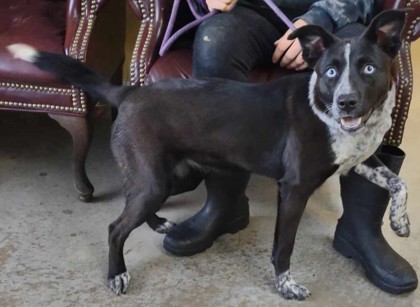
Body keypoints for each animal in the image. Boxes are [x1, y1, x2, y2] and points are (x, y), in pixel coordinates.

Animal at [7, 9, 410, 300]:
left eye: (369, 68)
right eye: (329, 72)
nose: (346, 102)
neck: (323, 109)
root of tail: (129, 92)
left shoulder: (360, 160)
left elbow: (398, 182)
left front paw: (400, 223)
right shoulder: (295, 189)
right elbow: (284, 246)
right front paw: (286, 286)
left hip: (166, 175)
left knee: (133, 204)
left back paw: (159, 224)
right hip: (155, 178)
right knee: (116, 227)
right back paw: (117, 273)